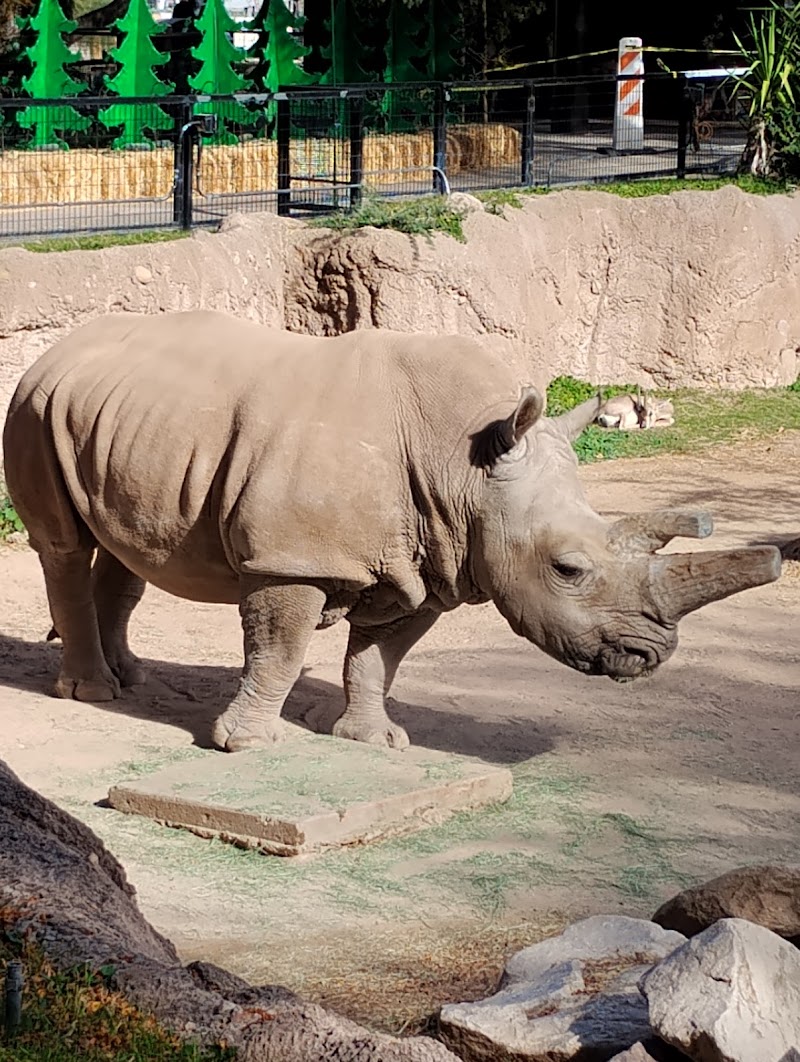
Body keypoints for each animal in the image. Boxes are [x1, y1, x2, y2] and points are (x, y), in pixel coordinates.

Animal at [2, 311, 781, 751]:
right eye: (568, 569)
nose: (651, 655)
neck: (464, 469)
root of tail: (56, 350)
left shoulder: (434, 562)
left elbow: (378, 658)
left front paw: (375, 741)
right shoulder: (293, 559)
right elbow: (279, 650)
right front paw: (245, 746)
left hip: (120, 419)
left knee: (128, 539)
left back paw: (130, 677)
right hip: (34, 405)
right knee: (64, 545)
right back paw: (95, 693)